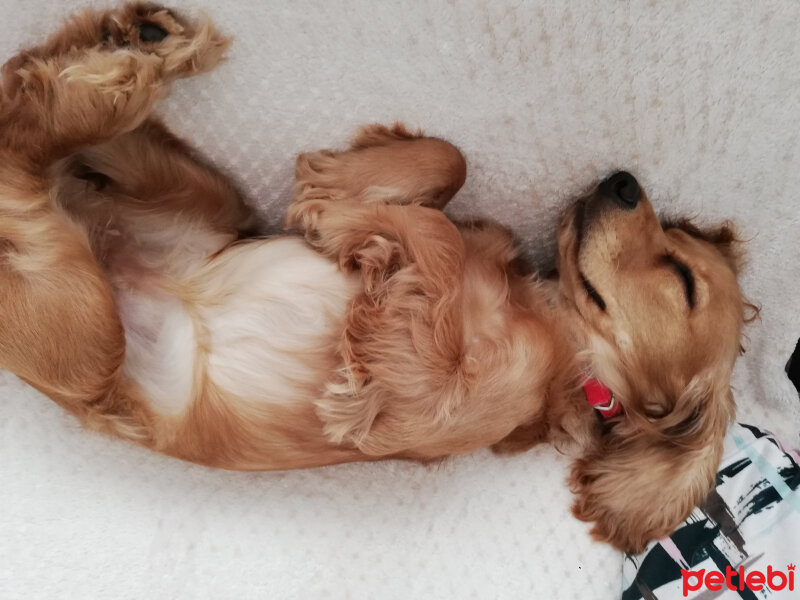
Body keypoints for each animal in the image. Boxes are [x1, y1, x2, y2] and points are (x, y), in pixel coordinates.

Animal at [0, 1, 752, 552]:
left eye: (683, 279)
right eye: (675, 232)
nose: (624, 182)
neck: (534, 309)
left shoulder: (426, 402)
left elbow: (433, 247)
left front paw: (349, 219)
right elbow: (450, 166)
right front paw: (343, 191)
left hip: (89, 334)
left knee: (22, 158)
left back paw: (126, 63)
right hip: (202, 201)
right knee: (27, 104)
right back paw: (135, 40)